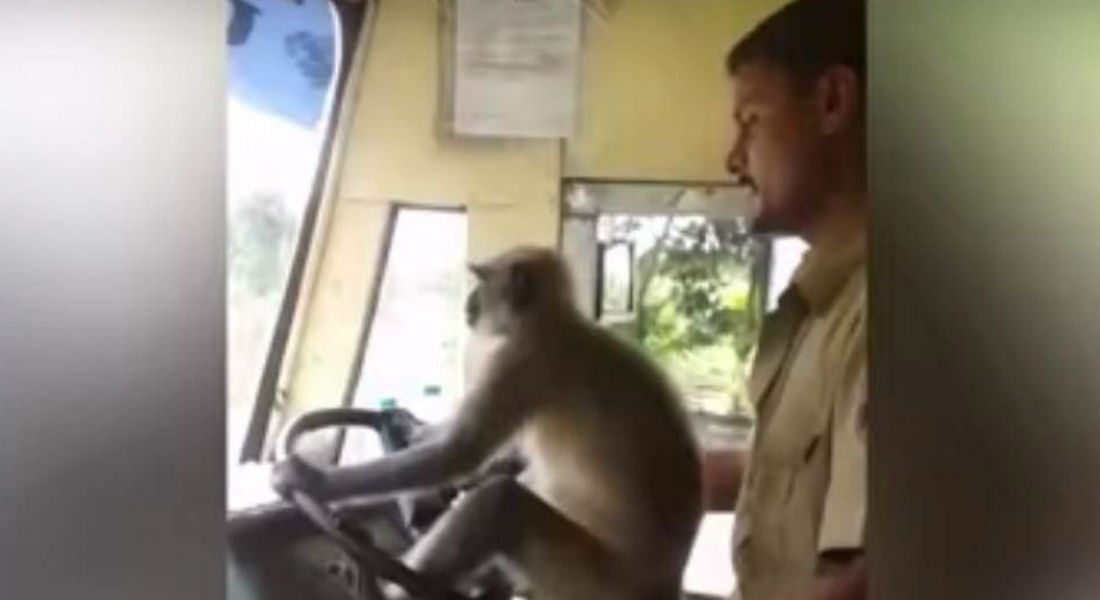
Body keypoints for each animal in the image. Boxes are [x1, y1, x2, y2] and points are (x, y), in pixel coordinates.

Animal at [275, 245, 704, 598]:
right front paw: (408, 426)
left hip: (591, 582)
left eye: (481, 282)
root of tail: (666, 586)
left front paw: (311, 479)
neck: (554, 323)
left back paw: (389, 587)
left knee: (500, 502)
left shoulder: (520, 360)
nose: (470, 301)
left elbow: (460, 452)